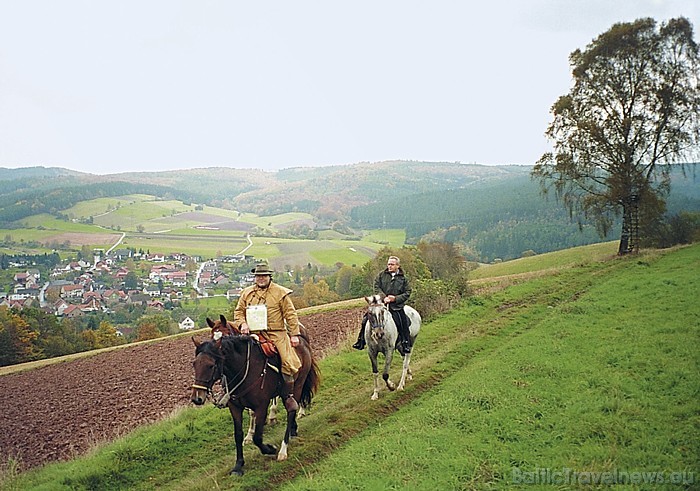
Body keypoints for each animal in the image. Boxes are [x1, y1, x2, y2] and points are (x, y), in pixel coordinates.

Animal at [193, 316, 322, 476]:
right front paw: (238, 465)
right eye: (194, 364)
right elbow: (238, 434)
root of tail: (302, 341)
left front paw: (270, 448)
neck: (241, 369)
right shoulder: (235, 407)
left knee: (292, 409)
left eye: (211, 365)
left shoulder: (261, 405)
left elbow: (258, 437)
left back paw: (283, 449)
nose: (197, 397)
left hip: (297, 386)